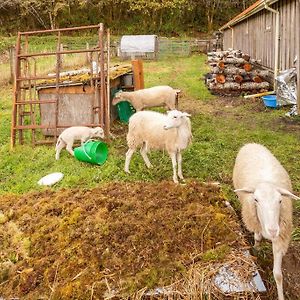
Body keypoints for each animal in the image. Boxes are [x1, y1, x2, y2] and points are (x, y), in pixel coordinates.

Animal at [232, 144, 300, 300]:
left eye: (280, 201)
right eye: (256, 200)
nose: (273, 230)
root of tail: (252, 143)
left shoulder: (280, 237)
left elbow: (278, 275)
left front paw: (280, 295)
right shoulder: (255, 222)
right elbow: (257, 238)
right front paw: (256, 251)